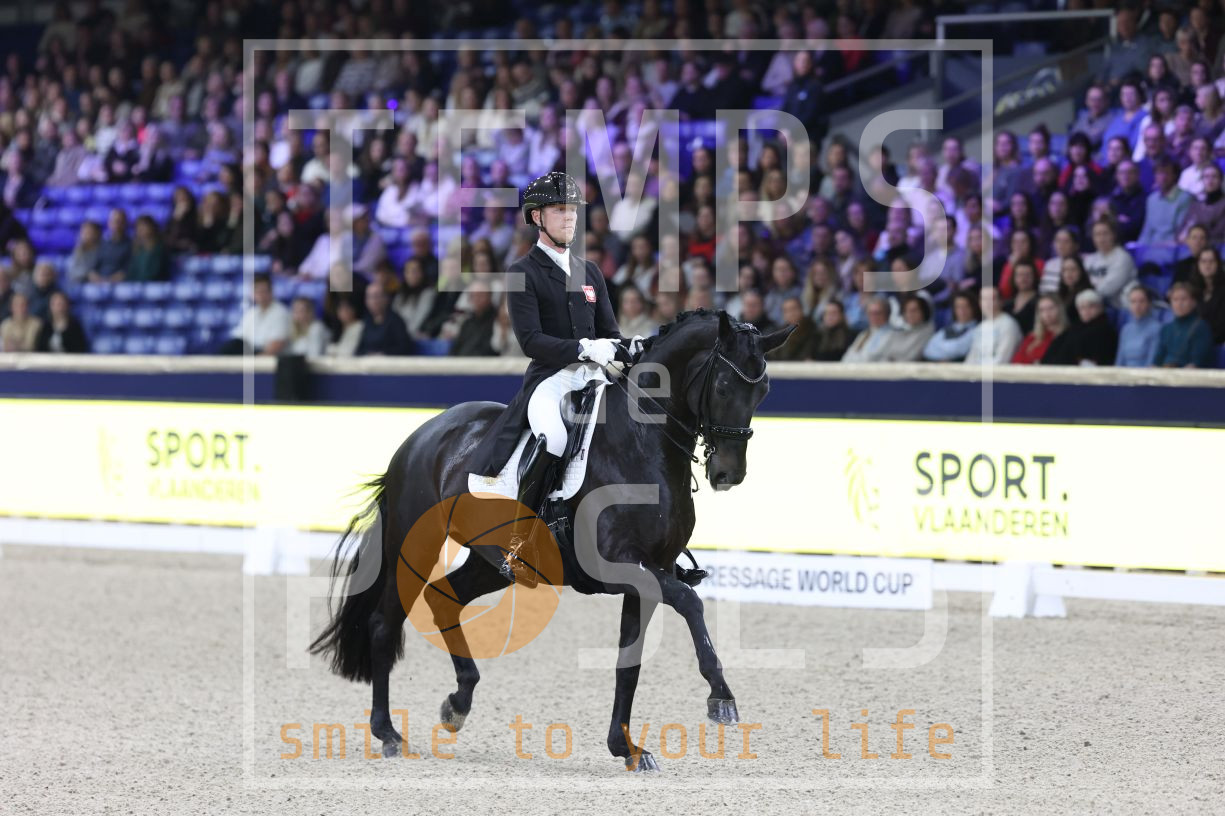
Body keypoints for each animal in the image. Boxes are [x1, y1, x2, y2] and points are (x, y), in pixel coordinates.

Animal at [309, 308, 795, 771]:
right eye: (726, 386)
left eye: (764, 390)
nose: (728, 474)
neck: (641, 444)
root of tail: (423, 433)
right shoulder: (619, 566)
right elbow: (691, 604)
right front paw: (721, 696)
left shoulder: (646, 575)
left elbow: (628, 664)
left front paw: (626, 748)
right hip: (413, 546)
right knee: (384, 624)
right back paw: (388, 732)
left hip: (493, 563)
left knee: (445, 599)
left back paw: (457, 704)